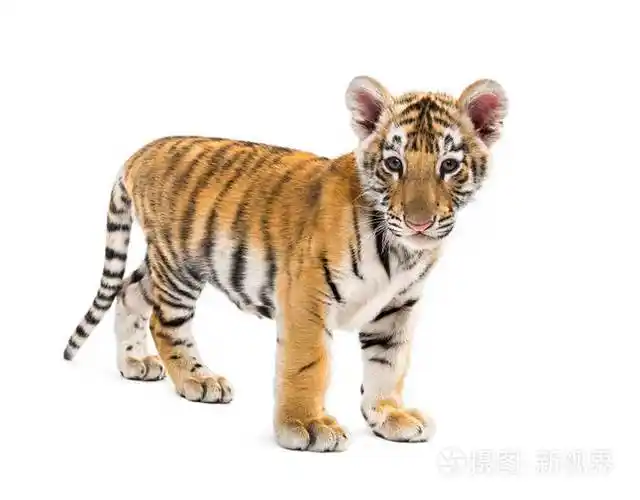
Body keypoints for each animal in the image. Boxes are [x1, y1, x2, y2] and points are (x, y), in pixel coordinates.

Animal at [63, 75, 508, 452]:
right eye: (394, 163)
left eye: (449, 166)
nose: (419, 222)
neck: (402, 252)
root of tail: (142, 151)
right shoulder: (306, 293)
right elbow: (307, 363)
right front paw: (306, 427)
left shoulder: (398, 306)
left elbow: (388, 363)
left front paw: (390, 416)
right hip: (178, 265)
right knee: (164, 322)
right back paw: (198, 379)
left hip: (164, 262)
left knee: (128, 292)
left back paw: (134, 362)